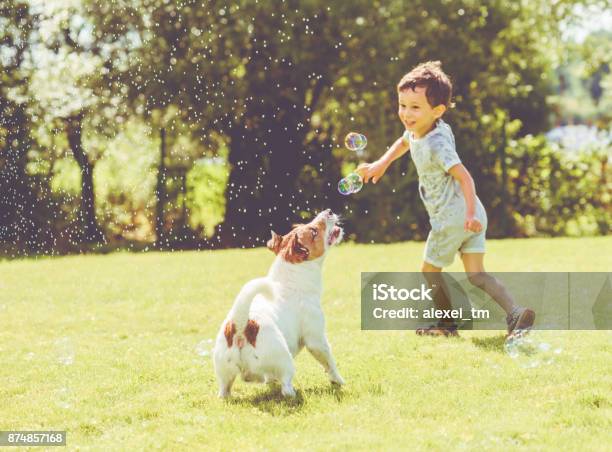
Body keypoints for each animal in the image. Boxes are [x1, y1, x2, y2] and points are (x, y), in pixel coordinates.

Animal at [214, 210, 344, 398]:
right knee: (286, 387)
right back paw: (293, 393)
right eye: (313, 231)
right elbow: (329, 361)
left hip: (224, 369)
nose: (328, 211)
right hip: (285, 361)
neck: (291, 278)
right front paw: (338, 380)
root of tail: (241, 326)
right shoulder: (316, 339)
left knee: (225, 390)